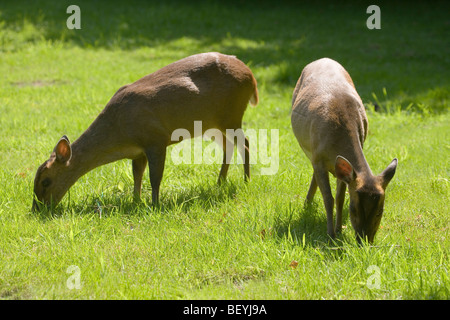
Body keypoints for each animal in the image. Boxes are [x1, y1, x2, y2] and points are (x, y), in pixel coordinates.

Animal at [32, 52, 256, 212]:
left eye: (46, 181)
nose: (37, 209)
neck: (120, 132)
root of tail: (251, 76)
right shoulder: (137, 151)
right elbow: (137, 176)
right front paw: (136, 200)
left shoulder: (156, 139)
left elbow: (154, 177)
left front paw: (155, 204)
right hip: (211, 123)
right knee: (229, 145)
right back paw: (220, 182)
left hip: (232, 113)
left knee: (245, 142)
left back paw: (246, 181)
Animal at [290, 58, 396, 242]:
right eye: (353, 208)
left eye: (380, 211)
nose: (364, 240)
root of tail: (322, 59)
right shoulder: (319, 158)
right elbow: (328, 198)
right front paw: (330, 234)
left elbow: (340, 198)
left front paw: (339, 230)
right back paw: (307, 204)